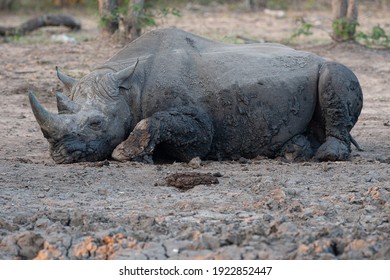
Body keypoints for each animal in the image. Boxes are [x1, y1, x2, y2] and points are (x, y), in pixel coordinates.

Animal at [29, 27, 362, 164]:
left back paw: (326, 155)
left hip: (329, 66)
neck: (129, 88)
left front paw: (125, 153)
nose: (59, 154)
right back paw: (293, 151)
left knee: (334, 73)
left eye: (96, 124)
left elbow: (156, 122)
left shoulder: (201, 128)